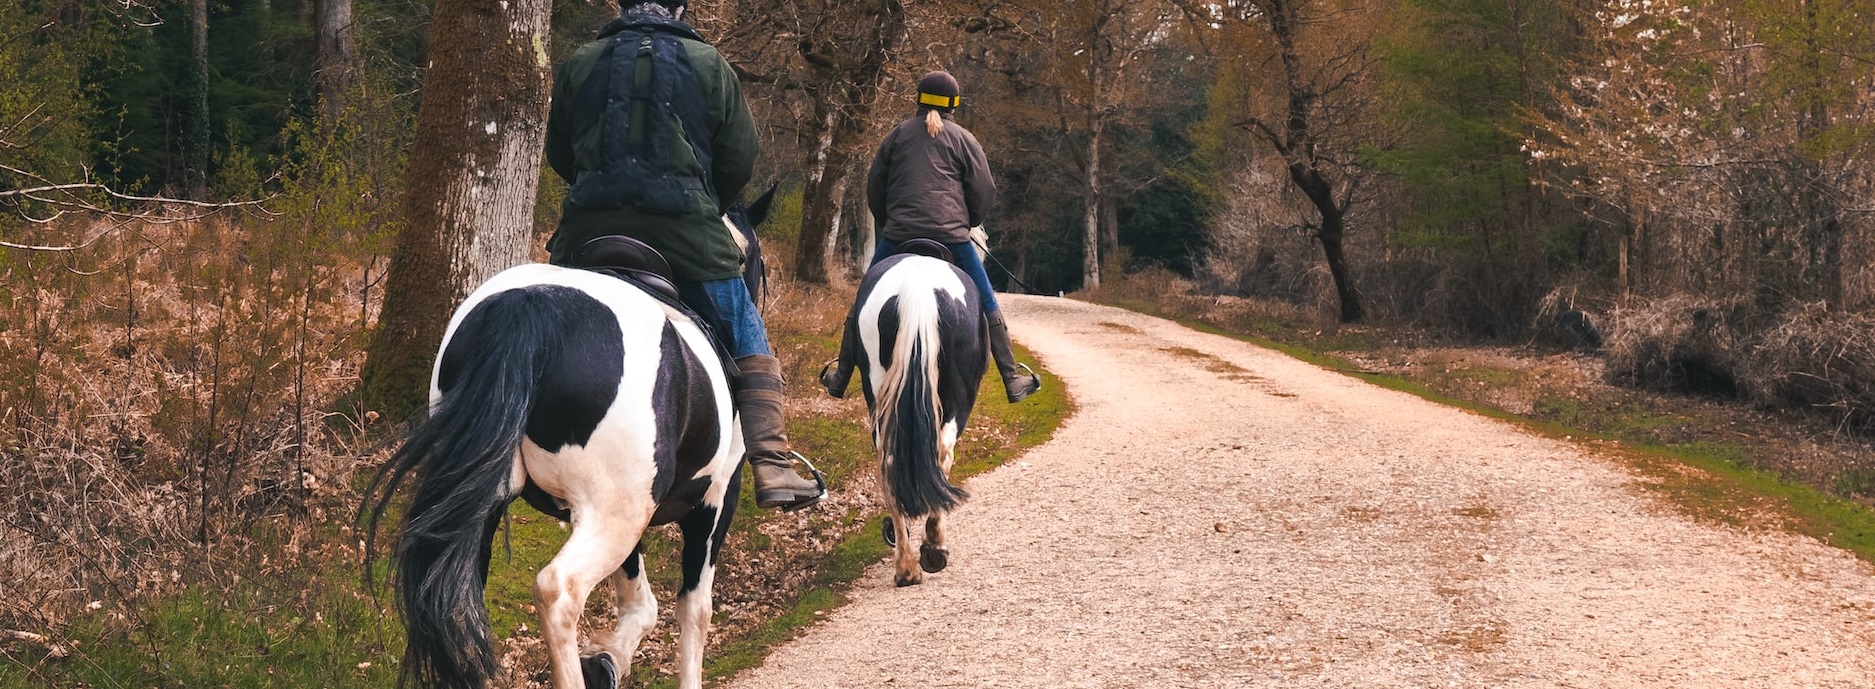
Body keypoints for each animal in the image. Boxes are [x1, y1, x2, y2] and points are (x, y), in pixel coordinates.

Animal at [361, 195, 772, 689]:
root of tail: (531, 307)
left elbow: (640, 600)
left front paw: (607, 658)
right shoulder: (714, 500)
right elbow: (694, 610)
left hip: (491, 509)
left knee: (454, 601)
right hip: (612, 513)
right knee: (558, 591)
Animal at [855, 242, 990, 589]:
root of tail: (917, 291)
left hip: (881, 395)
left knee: (889, 461)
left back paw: (905, 566)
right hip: (957, 399)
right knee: (942, 455)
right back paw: (932, 549)